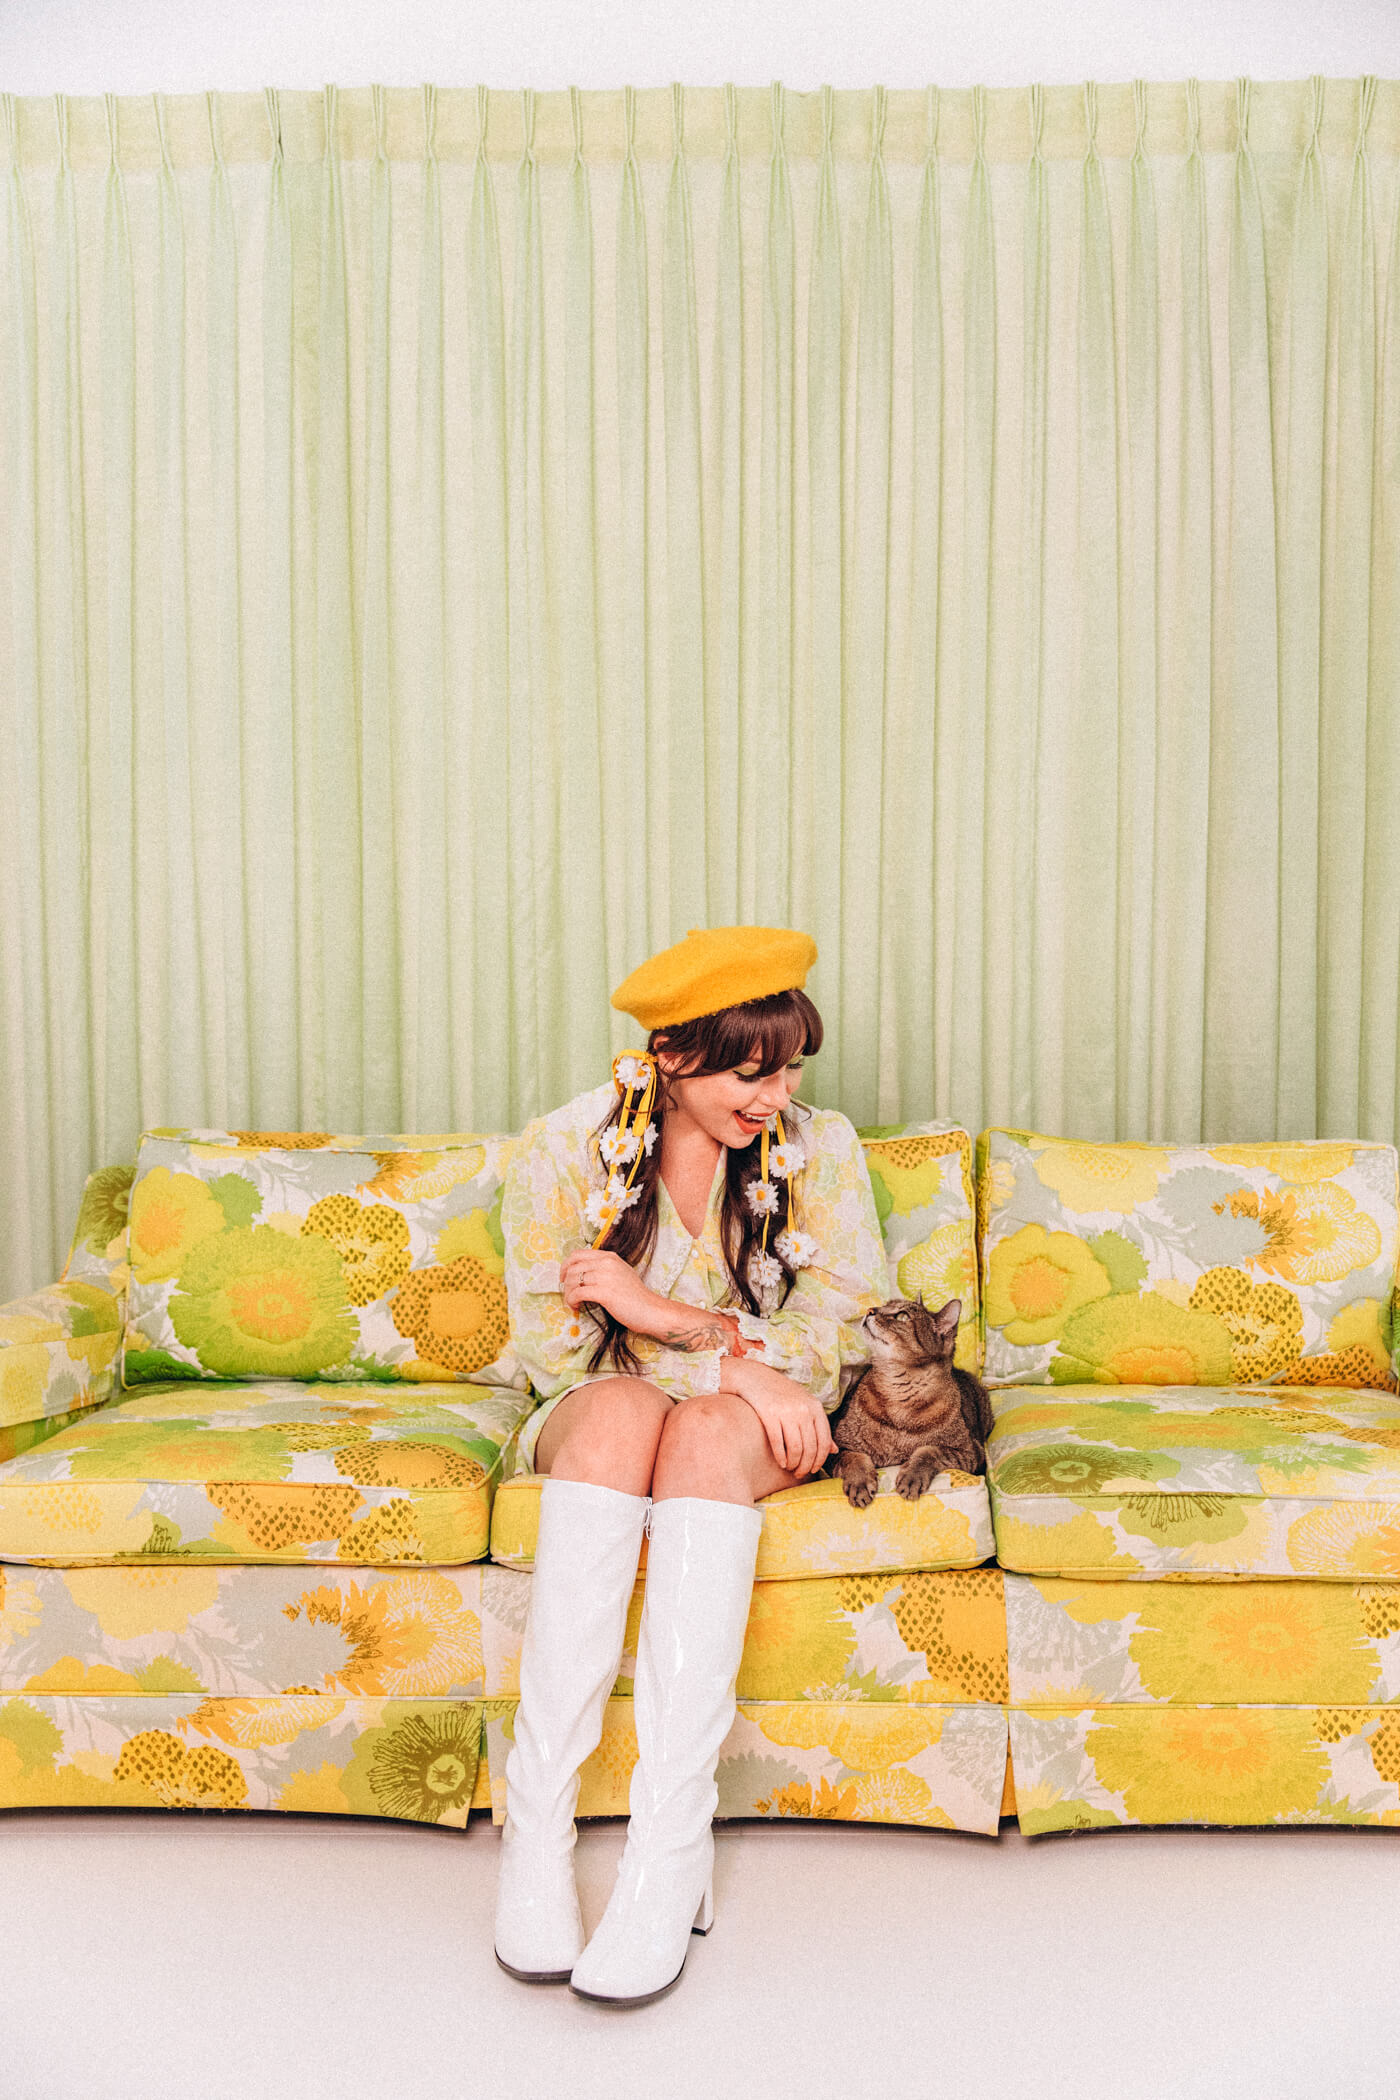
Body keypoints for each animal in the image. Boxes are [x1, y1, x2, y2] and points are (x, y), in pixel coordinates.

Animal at [831, 1293, 994, 1511]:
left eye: (902, 1316)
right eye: (885, 1305)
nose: (870, 1310)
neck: (899, 1395)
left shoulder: (970, 1451)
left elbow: (930, 1451)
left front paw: (912, 1476)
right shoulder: (837, 1447)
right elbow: (853, 1457)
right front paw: (860, 1482)